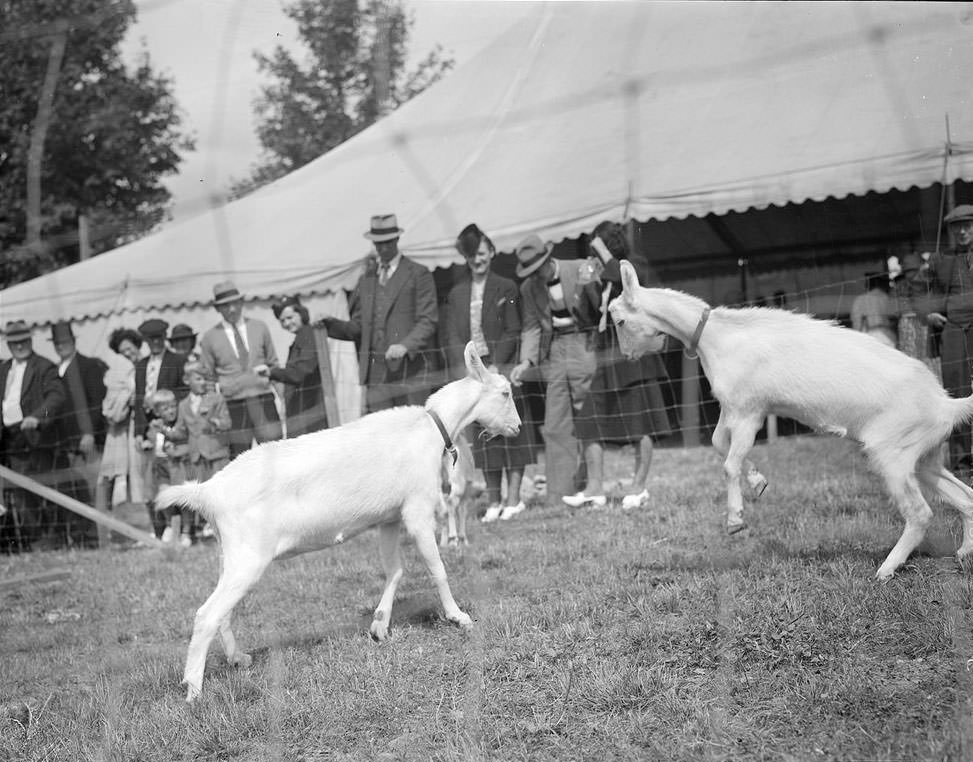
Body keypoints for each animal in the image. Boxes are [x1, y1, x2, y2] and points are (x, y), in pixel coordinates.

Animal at [154, 342, 516, 700]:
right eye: (506, 392)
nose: (517, 427)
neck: (427, 428)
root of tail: (208, 491)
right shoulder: (416, 510)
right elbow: (437, 568)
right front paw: (459, 617)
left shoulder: (389, 518)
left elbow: (395, 571)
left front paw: (379, 626)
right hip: (249, 557)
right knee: (206, 614)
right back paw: (194, 691)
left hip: (230, 554)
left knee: (223, 613)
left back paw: (237, 658)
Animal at [612, 258, 973, 580]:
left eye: (617, 321)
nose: (627, 356)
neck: (717, 335)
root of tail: (946, 404)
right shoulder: (733, 407)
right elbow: (717, 444)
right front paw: (758, 481)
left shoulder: (748, 411)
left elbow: (728, 463)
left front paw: (735, 520)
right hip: (923, 455)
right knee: (965, 497)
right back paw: (963, 554)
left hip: (891, 453)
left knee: (921, 513)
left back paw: (886, 570)